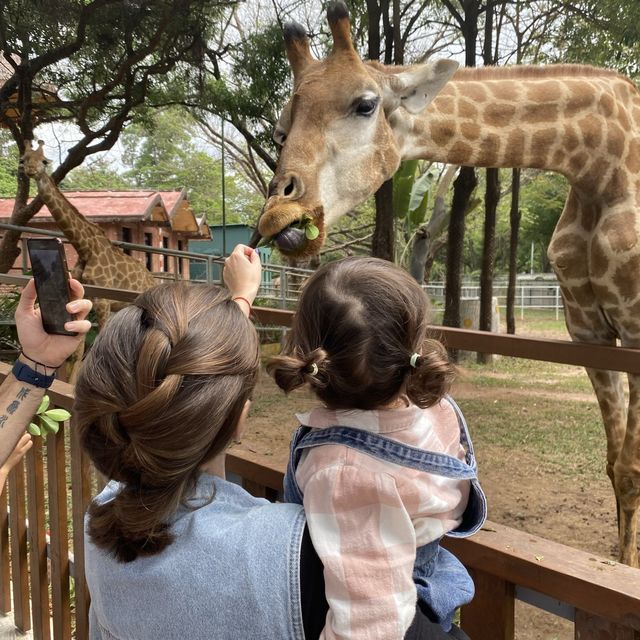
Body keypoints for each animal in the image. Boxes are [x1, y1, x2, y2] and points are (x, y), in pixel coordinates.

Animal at [21, 142, 159, 330]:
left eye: (44, 161)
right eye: (23, 159)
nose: (30, 170)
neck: (85, 248)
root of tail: (153, 281)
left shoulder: (103, 300)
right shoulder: (84, 297)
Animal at [251, 3, 640, 564]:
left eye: (365, 105)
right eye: (282, 128)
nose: (279, 213)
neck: (601, 166)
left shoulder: (635, 329)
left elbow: (630, 466)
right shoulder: (591, 334)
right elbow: (618, 465)